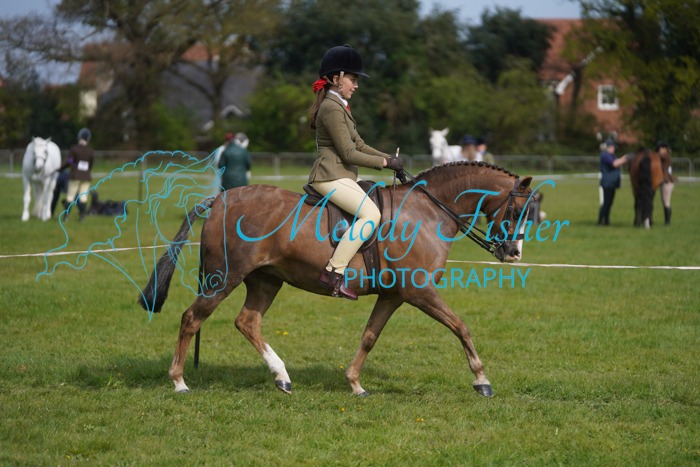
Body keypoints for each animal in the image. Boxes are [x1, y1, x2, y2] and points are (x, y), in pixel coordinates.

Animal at [138, 162, 534, 397]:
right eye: (516, 210)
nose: (513, 253)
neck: (429, 210)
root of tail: (220, 199)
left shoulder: (393, 295)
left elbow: (370, 336)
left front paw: (355, 383)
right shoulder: (419, 291)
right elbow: (460, 326)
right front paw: (482, 380)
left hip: (266, 281)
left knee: (247, 321)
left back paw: (281, 376)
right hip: (224, 278)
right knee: (192, 318)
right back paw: (179, 381)